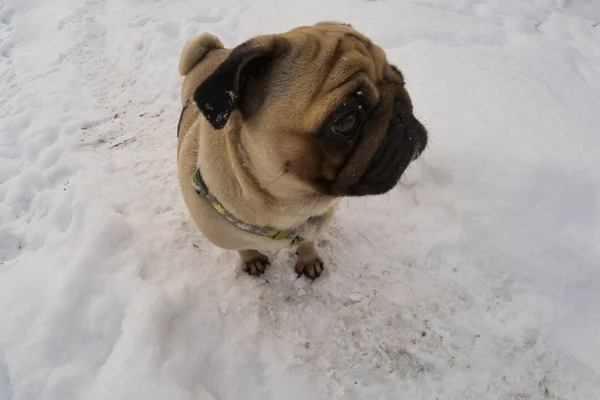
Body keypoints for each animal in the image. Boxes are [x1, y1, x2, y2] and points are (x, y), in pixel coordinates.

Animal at [176, 21, 428, 278]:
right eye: (346, 121)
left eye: (402, 81)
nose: (402, 113)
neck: (291, 205)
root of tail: (212, 51)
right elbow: (244, 247)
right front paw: (252, 258)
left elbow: (308, 242)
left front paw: (308, 259)